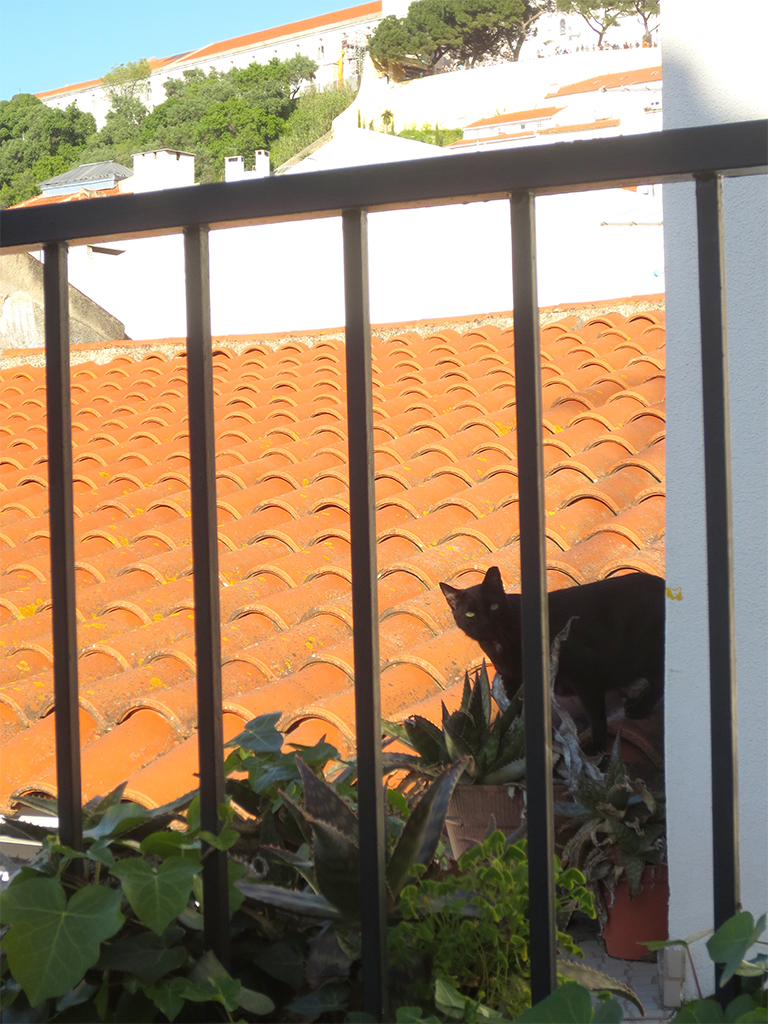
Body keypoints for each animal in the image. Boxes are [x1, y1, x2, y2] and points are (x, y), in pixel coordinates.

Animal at [442, 569, 663, 753]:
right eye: (470, 613)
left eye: (494, 606)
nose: (486, 624)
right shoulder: (512, 681)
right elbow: (519, 716)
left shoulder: (584, 672)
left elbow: (596, 716)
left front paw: (597, 746)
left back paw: (639, 709)